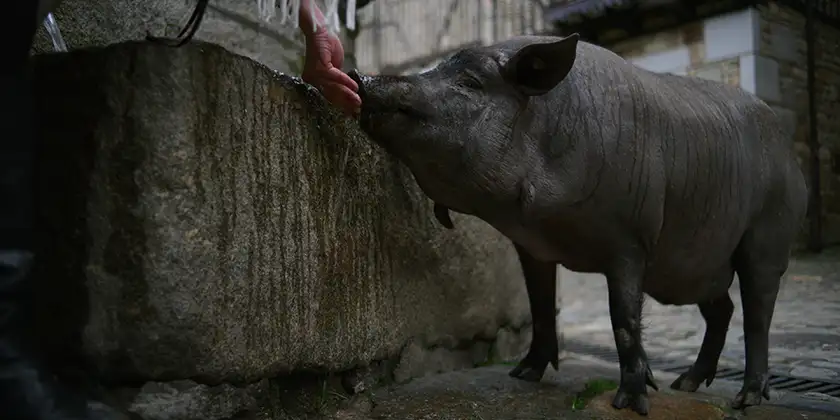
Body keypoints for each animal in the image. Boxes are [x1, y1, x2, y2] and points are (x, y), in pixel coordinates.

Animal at [346, 33, 808, 416]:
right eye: (438, 68)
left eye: (471, 81)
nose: (360, 76)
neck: (547, 220)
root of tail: (789, 152)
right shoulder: (532, 247)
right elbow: (540, 304)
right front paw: (523, 375)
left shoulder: (630, 239)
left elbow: (623, 319)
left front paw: (631, 404)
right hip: (700, 265)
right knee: (722, 309)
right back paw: (686, 384)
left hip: (767, 236)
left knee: (757, 313)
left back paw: (745, 399)